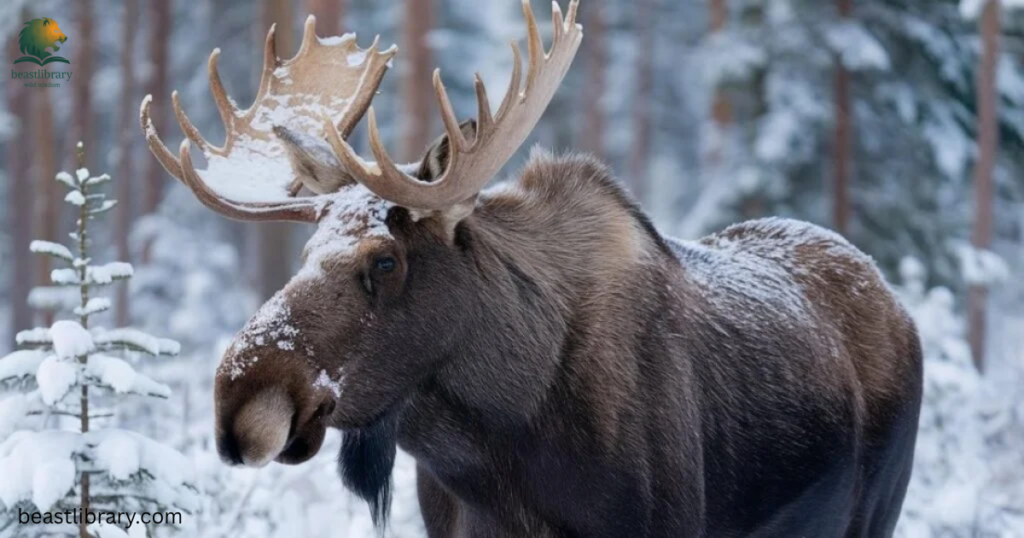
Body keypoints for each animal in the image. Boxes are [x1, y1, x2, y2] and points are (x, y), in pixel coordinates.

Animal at [139, 1, 923, 536]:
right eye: (304, 253)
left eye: (385, 259)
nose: (240, 403)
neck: (499, 453)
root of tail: (893, 300)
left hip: (877, 510)